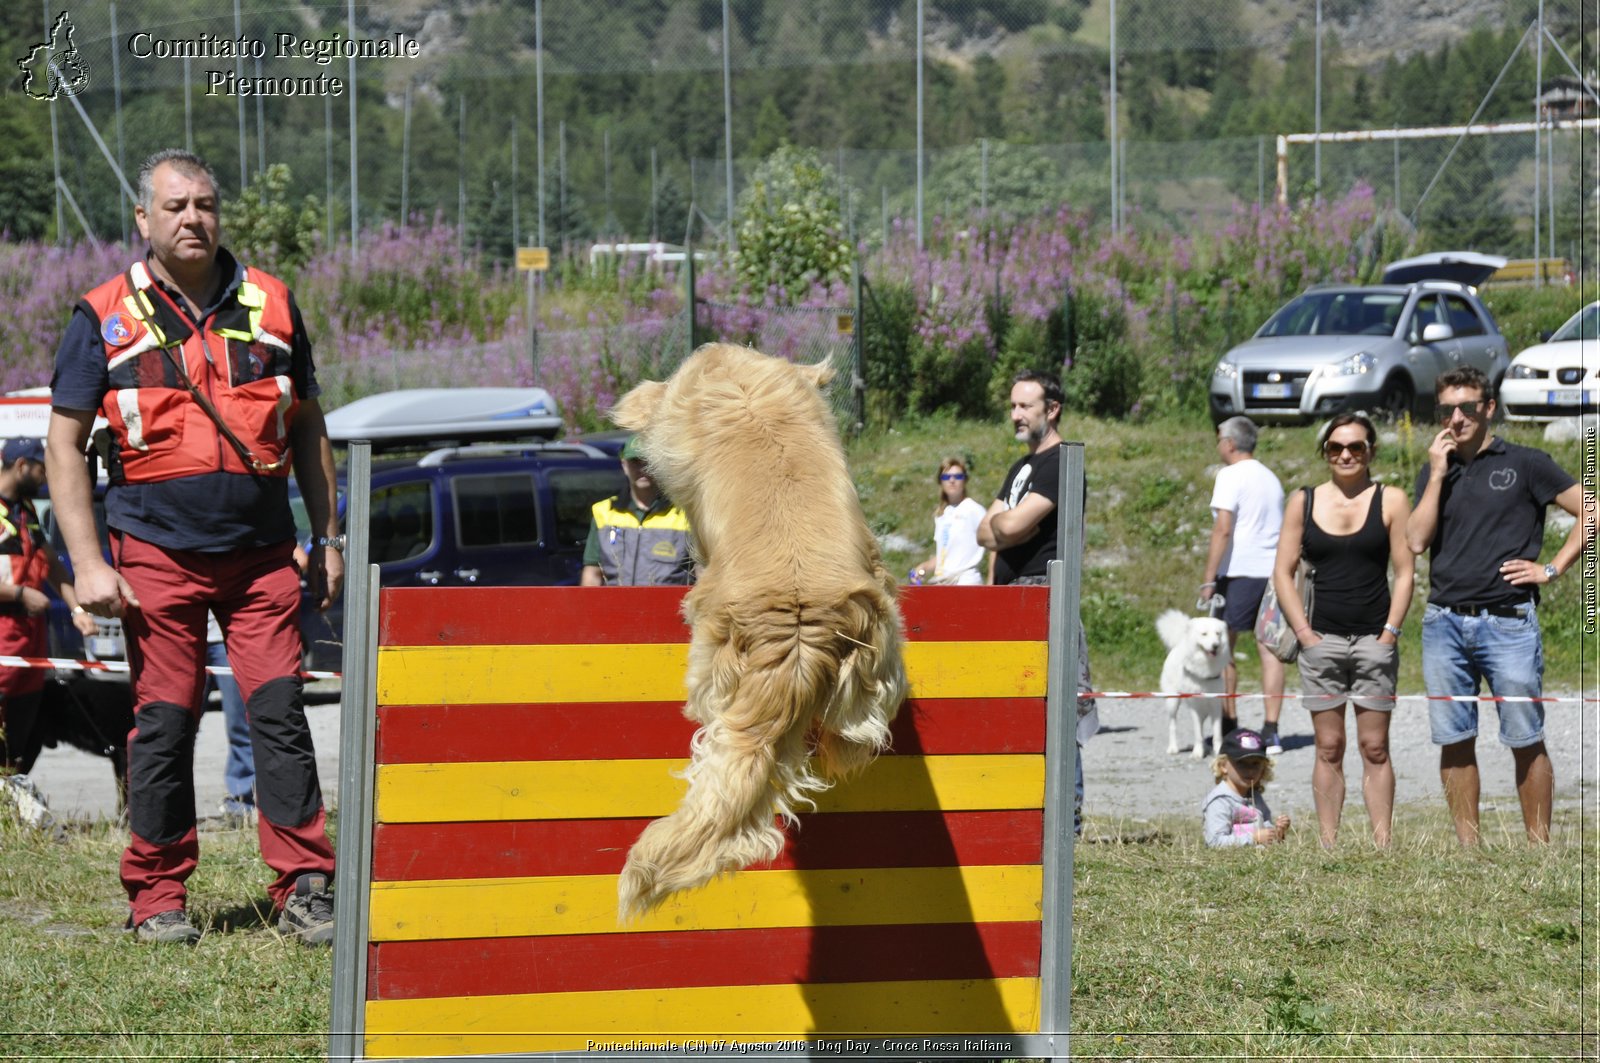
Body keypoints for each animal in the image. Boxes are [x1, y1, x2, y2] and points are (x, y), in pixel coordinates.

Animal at [1158, 611, 1228, 758]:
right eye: (1204, 634)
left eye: (1218, 634)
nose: (1215, 645)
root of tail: (1178, 644)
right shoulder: (1195, 706)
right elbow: (1197, 733)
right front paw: (1197, 753)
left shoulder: (1215, 704)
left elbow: (1217, 733)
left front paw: (1218, 751)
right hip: (1172, 701)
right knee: (1173, 724)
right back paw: (1173, 748)